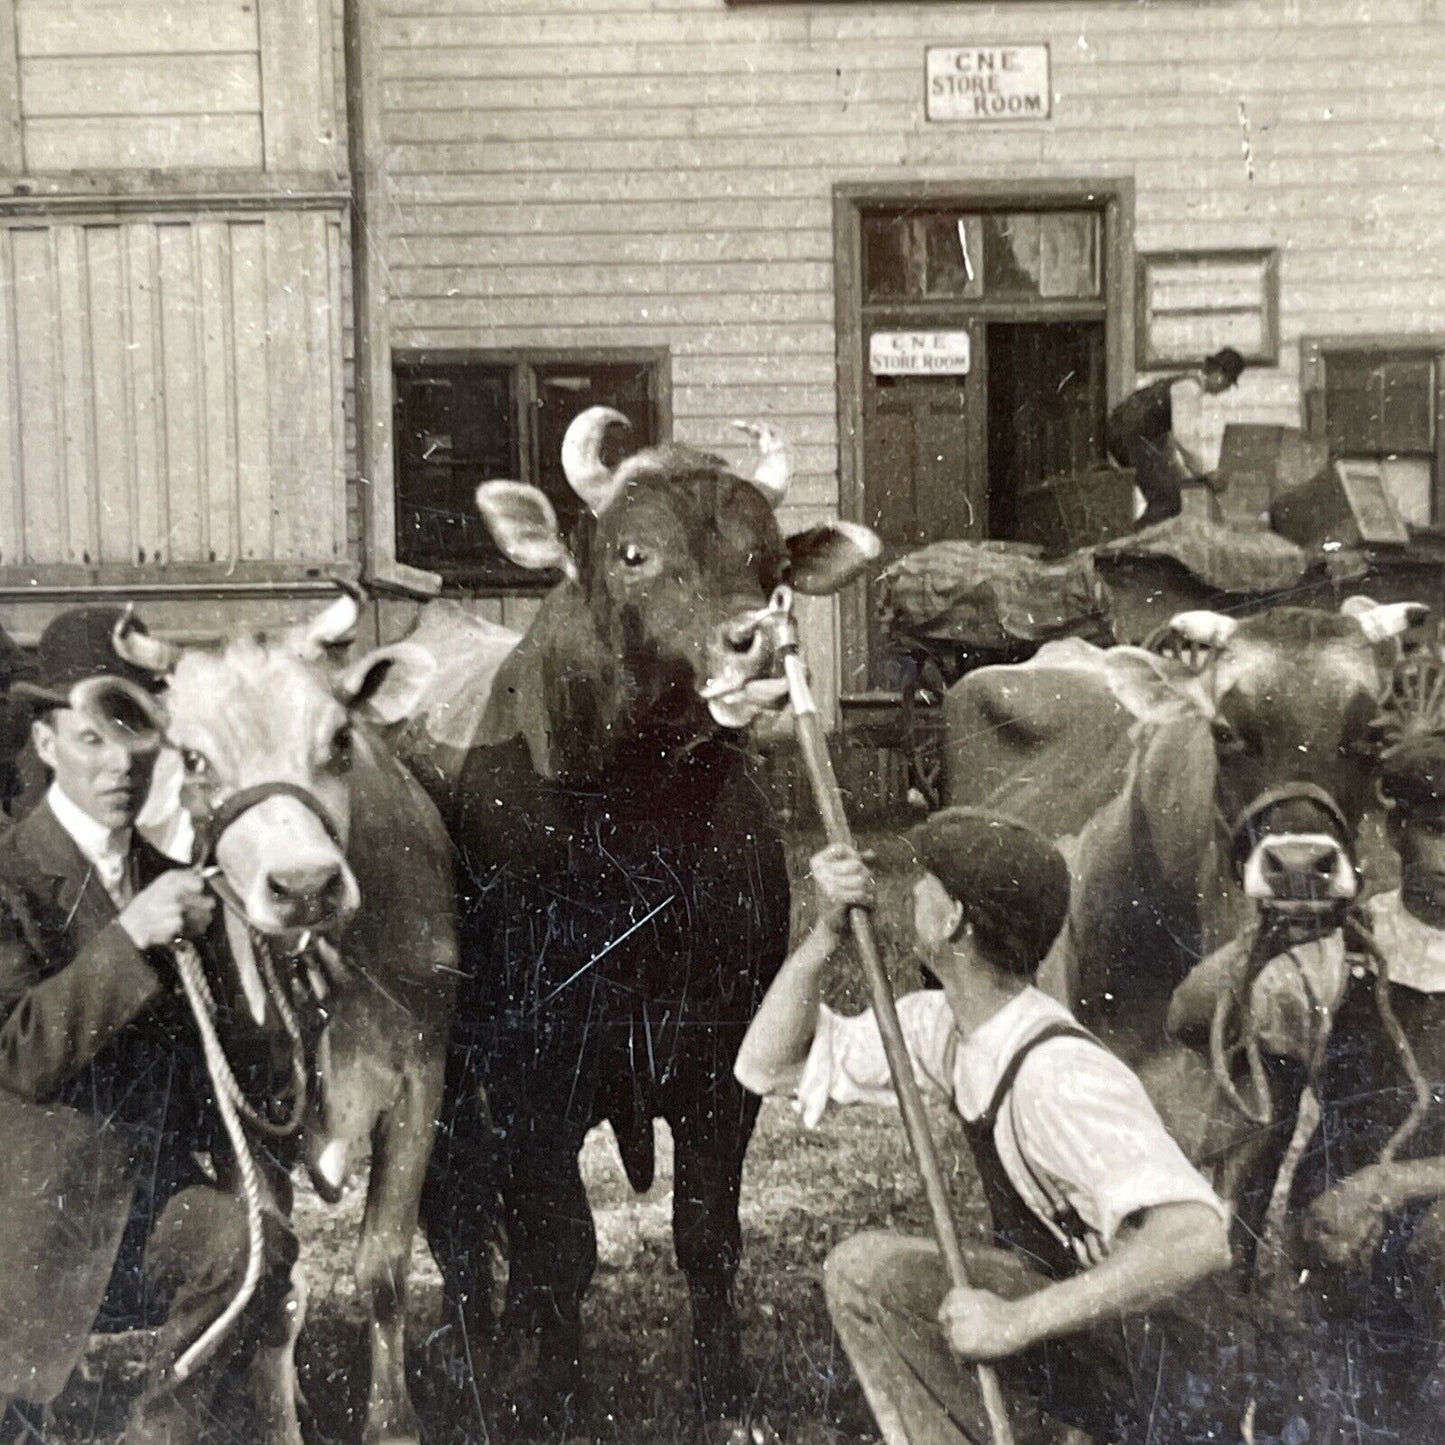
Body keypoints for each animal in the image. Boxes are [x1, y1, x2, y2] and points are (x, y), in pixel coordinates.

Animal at [107, 595, 453, 1445]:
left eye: (339, 741)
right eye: (192, 759)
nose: (302, 885)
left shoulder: (421, 1078)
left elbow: (384, 1270)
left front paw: (391, 1422)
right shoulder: (235, 1112)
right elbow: (273, 1283)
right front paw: (277, 1418)